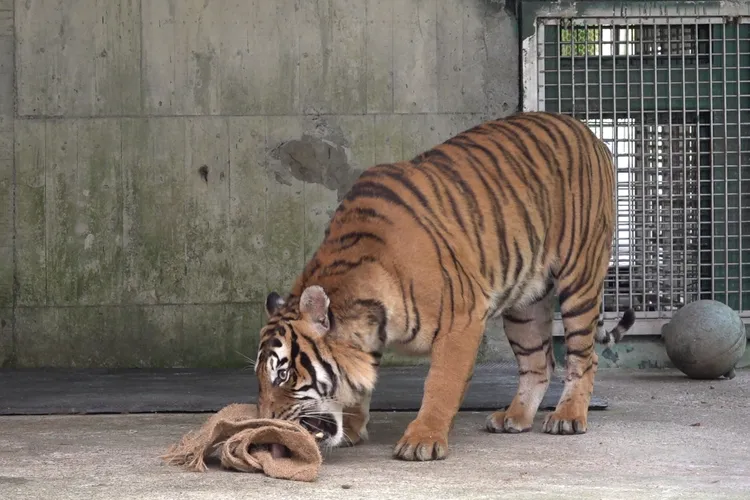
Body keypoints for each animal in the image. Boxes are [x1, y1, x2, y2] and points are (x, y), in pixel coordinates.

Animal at [254, 111, 636, 462]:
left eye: (283, 375)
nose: (267, 424)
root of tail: (587, 131)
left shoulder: (462, 320)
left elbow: (441, 383)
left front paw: (422, 439)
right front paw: (352, 426)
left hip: (580, 278)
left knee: (584, 356)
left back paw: (568, 416)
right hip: (525, 305)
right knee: (538, 363)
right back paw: (515, 416)